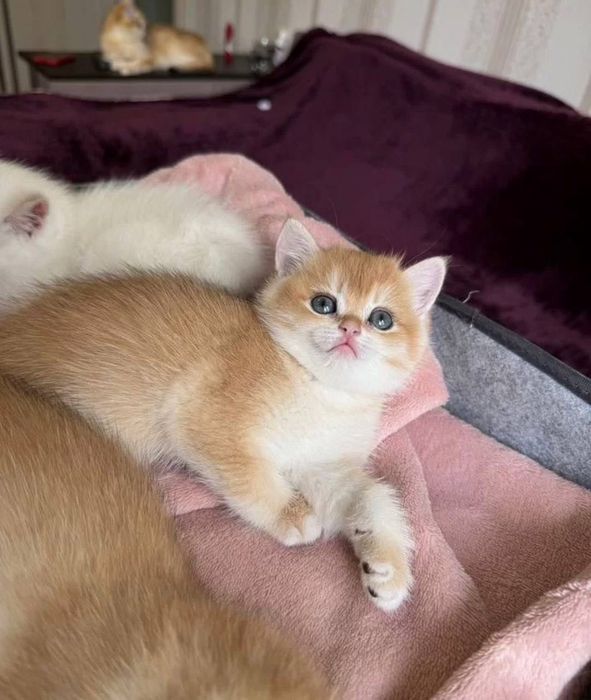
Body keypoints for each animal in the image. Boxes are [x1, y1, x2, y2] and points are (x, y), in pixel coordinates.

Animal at [0, 218, 447, 612]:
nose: (351, 329)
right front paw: (293, 515)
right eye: (324, 304)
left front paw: (388, 570)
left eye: (381, 319)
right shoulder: (200, 412)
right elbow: (247, 473)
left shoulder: (319, 463)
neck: (317, 387)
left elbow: (370, 494)